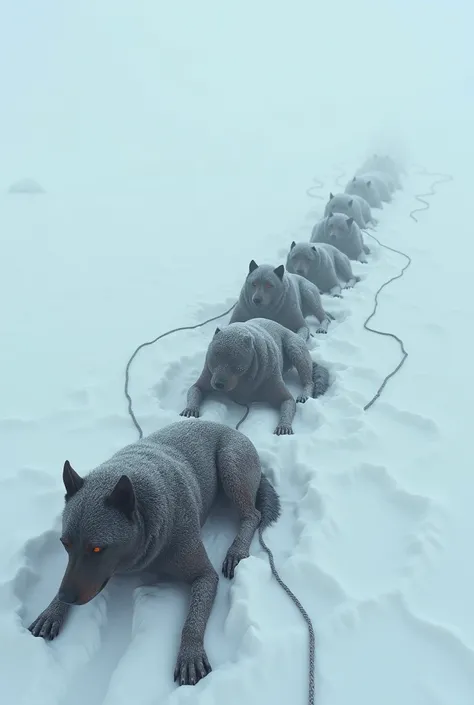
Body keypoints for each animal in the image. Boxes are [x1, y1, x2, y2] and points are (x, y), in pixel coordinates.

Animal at [27, 420, 280, 684]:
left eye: (97, 548)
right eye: (65, 543)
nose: (65, 596)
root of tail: (228, 427)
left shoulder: (204, 575)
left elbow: (193, 619)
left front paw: (190, 653)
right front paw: (52, 610)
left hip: (231, 462)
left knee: (252, 514)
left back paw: (236, 549)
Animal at [180, 318, 328, 434]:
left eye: (236, 364)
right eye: (215, 357)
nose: (219, 384)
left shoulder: (270, 375)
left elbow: (287, 400)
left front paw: (283, 426)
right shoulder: (209, 373)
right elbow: (196, 388)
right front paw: (191, 409)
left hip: (293, 344)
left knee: (304, 367)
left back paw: (304, 394)